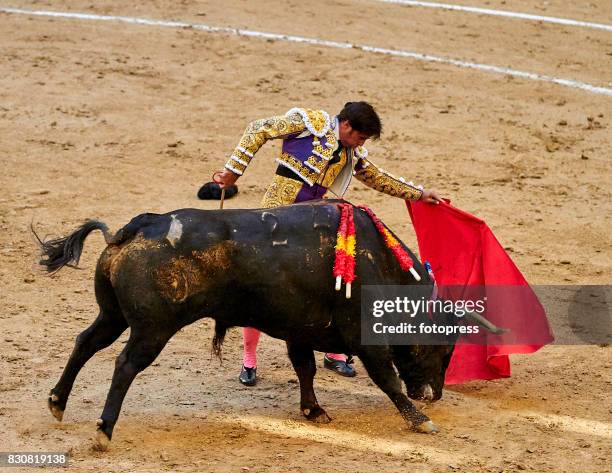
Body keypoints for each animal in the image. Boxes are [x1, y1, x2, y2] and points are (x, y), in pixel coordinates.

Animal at [33, 200, 494, 450]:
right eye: (443, 345)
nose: (435, 394)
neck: (382, 264)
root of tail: (135, 227)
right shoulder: (363, 337)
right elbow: (387, 379)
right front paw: (420, 420)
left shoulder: (301, 329)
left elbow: (305, 368)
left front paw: (313, 410)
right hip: (152, 329)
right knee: (125, 365)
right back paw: (103, 431)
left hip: (112, 315)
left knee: (85, 342)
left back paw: (57, 402)